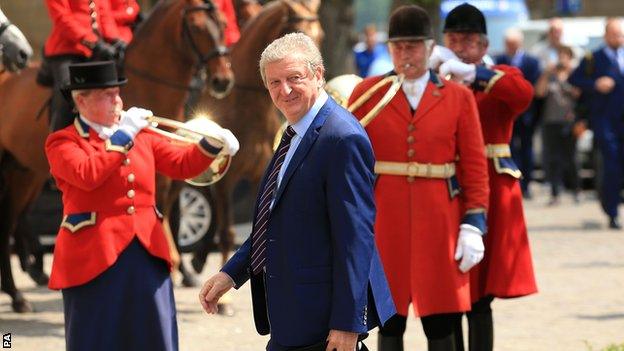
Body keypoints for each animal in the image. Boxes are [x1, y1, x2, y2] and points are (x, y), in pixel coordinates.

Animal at [0, 0, 233, 314]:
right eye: (196, 27)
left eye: (224, 24)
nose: (222, 81)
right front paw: (172, 267)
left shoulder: (165, 174)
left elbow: (166, 209)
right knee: (8, 224)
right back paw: (17, 293)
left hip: (25, 172)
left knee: (14, 219)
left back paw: (19, 290)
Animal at [184, 0, 322, 284]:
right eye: (297, 30)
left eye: (321, 34)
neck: (248, 107)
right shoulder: (226, 178)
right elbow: (227, 233)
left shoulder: (261, 175)